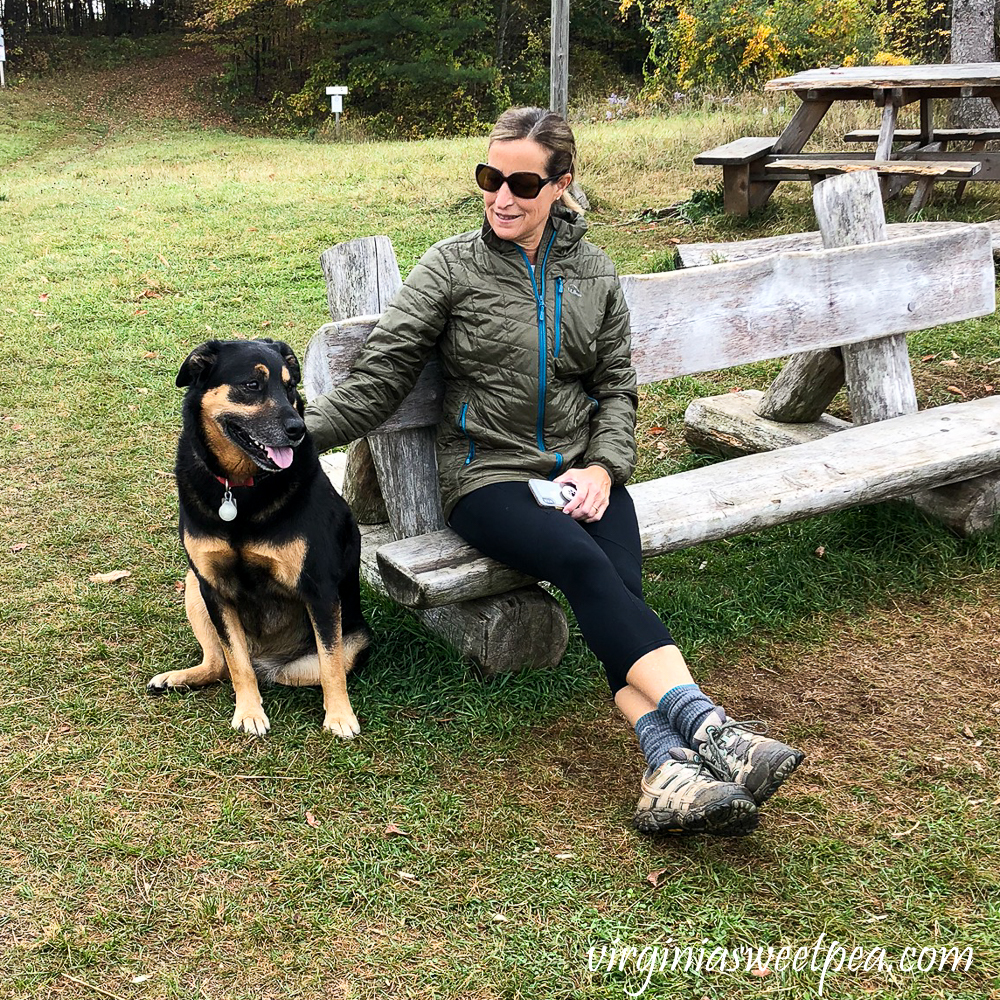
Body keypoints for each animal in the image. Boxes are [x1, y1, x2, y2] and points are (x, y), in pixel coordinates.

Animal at [146, 340, 370, 740]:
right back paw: (179, 678)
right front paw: (249, 711)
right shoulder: (213, 587)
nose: (298, 429)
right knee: (221, 663)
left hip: (349, 642)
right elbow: (236, 663)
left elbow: (331, 665)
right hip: (193, 588)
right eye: (252, 385)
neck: (240, 489)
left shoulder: (320, 588)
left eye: (290, 387)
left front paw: (340, 717)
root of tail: (266, 659)